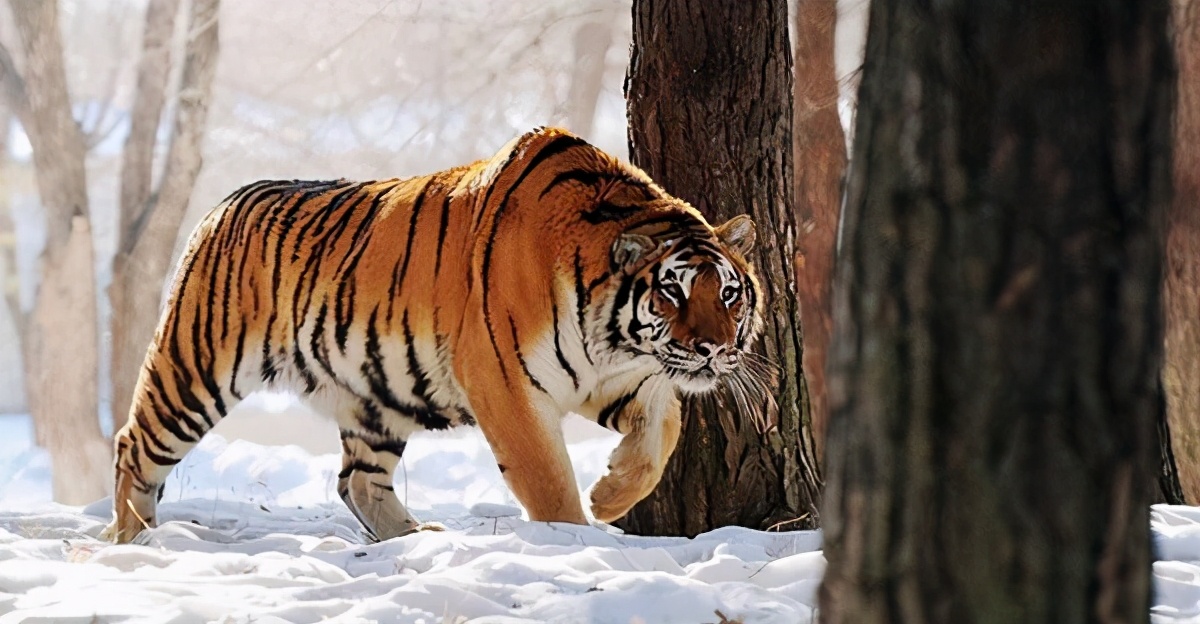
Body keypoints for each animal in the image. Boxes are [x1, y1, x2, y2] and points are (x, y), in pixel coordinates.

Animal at [101, 126, 764, 544]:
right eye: (672, 290)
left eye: (729, 294)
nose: (713, 349)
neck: (615, 337)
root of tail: (223, 203)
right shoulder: (505, 382)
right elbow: (547, 478)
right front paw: (578, 539)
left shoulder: (623, 376)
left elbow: (663, 430)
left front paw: (609, 495)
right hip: (195, 369)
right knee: (134, 445)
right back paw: (134, 538)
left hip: (376, 397)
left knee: (357, 481)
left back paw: (415, 540)